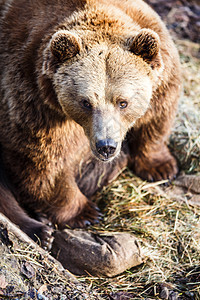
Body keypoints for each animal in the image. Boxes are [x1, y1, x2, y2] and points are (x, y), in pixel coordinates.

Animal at [0, 0, 181, 248]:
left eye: (123, 102)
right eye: (85, 102)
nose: (106, 147)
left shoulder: (162, 70)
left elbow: (157, 116)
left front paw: (161, 167)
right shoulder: (34, 100)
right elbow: (44, 161)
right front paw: (85, 213)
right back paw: (41, 230)